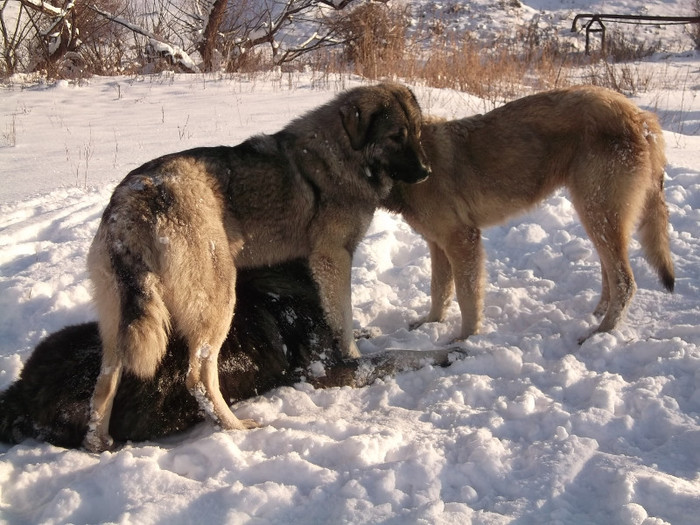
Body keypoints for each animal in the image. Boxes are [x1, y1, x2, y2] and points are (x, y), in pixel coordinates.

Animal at [85, 83, 430, 450]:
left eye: (417, 132)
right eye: (395, 136)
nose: (426, 172)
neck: (342, 153)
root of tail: (133, 201)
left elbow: (339, 313)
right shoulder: (333, 258)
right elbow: (343, 317)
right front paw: (353, 353)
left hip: (119, 324)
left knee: (104, 384)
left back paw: (97, 442)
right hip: (220, 299)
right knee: (198, 377)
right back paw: (234, 426)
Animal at [382, 84, 672, 342]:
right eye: (394, 136)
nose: (424, 171)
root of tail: (641, 116)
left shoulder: (462, 240)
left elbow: (467, 297)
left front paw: (464, 340)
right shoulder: (437, 245)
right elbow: (439, 290)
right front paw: (430, 324)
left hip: (596, 215)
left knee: (625, 283)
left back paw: (599, 333)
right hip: (598, 220)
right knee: (610, 279)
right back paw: (596, 316)